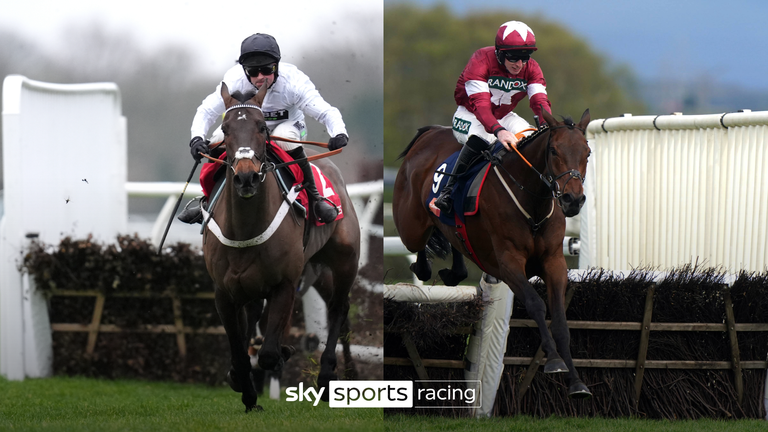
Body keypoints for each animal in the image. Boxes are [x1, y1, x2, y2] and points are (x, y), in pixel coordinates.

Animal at [203, 81, 360, 411]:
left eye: (262, 127)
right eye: (224, 129)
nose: (246, 177)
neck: (246, 229)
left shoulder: (285, 285)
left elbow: (269, 353)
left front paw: (281, 356)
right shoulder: (224, 292)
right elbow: (239, 351)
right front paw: (247, 391)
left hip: (343, 261)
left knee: (339, 308)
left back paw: (329, 377)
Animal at [392, 108, 592, 398]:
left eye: (587, 152)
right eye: (554, 150)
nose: (572, 200)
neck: (533, 203)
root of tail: (430, 133)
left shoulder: (554, 262)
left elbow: (560, 321)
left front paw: (576, 381)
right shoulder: (508, 264)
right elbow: (536, 304)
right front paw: (554, 361)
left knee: (453, 235)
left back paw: (454, 271)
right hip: (411, 226)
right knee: (418, 244)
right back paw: (424, 265)